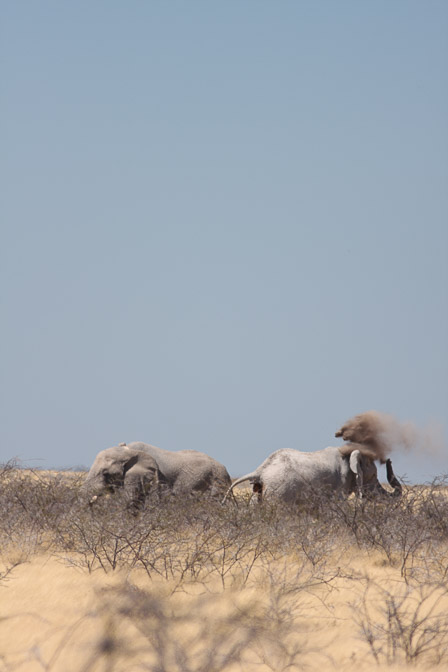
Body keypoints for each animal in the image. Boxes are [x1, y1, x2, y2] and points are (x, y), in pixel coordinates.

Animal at [222, 440, 400, 504]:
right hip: (278, 491)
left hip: (259, 489)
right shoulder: (340, 483)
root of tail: (260, 470)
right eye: (374, 475)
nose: (389, 460)